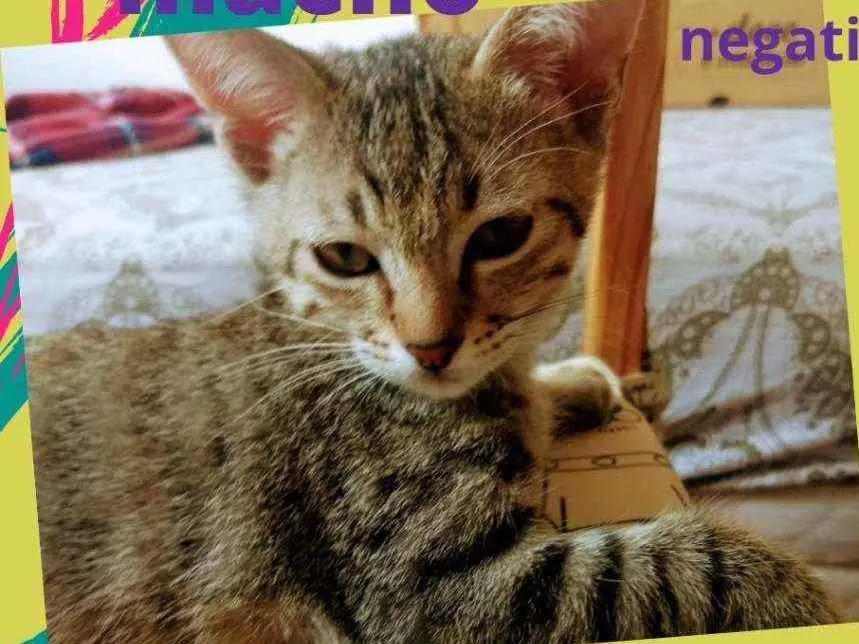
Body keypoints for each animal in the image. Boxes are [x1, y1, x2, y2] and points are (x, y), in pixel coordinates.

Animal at [27, 2, 836, 642]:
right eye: (344, 257)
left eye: (500, 235)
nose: (430, 346)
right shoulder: (428, 588)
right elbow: (669, 566)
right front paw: (798, 593)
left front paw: (569, 383)